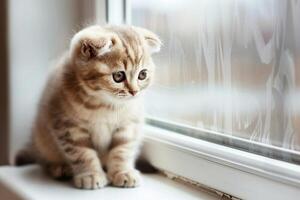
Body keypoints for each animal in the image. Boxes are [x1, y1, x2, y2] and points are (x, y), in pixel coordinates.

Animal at [15, 24, 162, 189]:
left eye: (142, 75)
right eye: (118, 76)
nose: (134, 92)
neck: (105, 106)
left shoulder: (128, 125)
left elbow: (123, 149)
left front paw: (123, 172)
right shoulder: (68, 127)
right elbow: (82, 153)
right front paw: (90, 175)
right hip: (43, 138)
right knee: (44, 159)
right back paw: (59, 168)